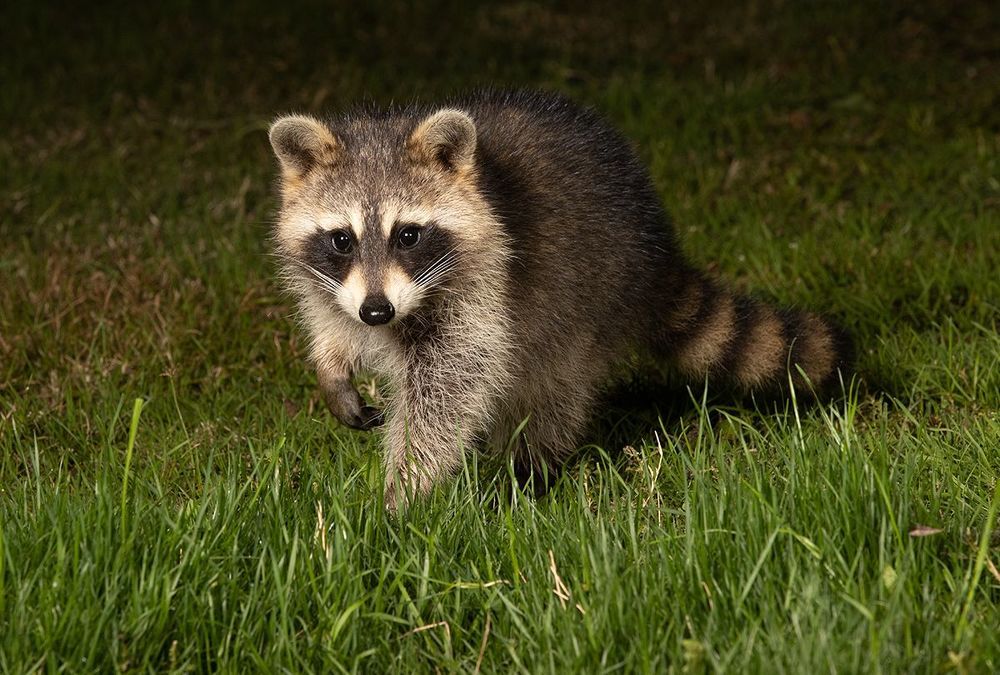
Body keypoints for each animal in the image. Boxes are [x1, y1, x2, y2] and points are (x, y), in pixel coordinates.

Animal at [268, 90, 852, 510]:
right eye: (341, 239)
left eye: (408, 235)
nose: (377, 312)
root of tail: (657, 251)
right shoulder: (335, 283)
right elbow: (332, 319)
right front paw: (332, 366)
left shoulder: (486, 284)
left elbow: (452, 384)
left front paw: (404, 491)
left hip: (585, 303)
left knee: (550, 389)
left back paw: (525, 473)